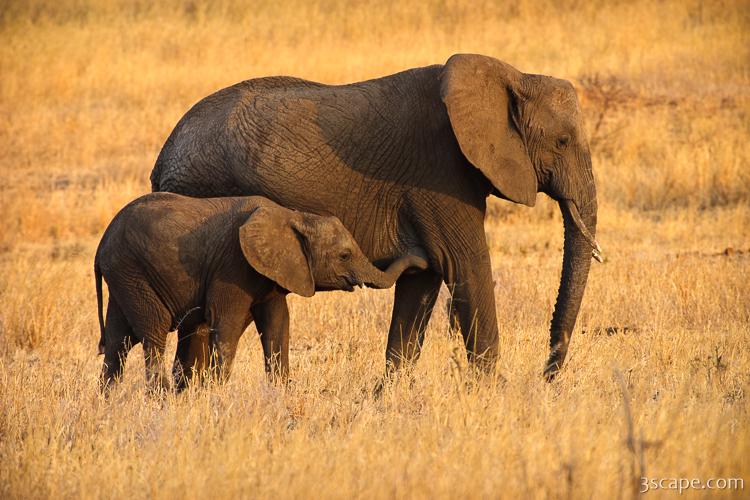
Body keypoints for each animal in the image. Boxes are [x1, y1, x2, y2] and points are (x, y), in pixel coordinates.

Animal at [94, 193, 428, 392]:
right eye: (344, 255)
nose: (422, 260)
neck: (294, 216)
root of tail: (101, 245)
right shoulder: (231, 266)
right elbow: (226, 324)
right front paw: (216, 393)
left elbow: (278, 323)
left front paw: (281, 391)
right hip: (132, 271)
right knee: (153, 333)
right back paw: (160, 397)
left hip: (124, 275)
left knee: (118, 340)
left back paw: (108, 399)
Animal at [150, 53, 603, 381]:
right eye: (563, 141)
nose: (546, 377)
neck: (512, 74)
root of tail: (164, 156)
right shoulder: (439, 175)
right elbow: (466, 265)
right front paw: (492, 393)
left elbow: (424, 282)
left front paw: (388, 397)